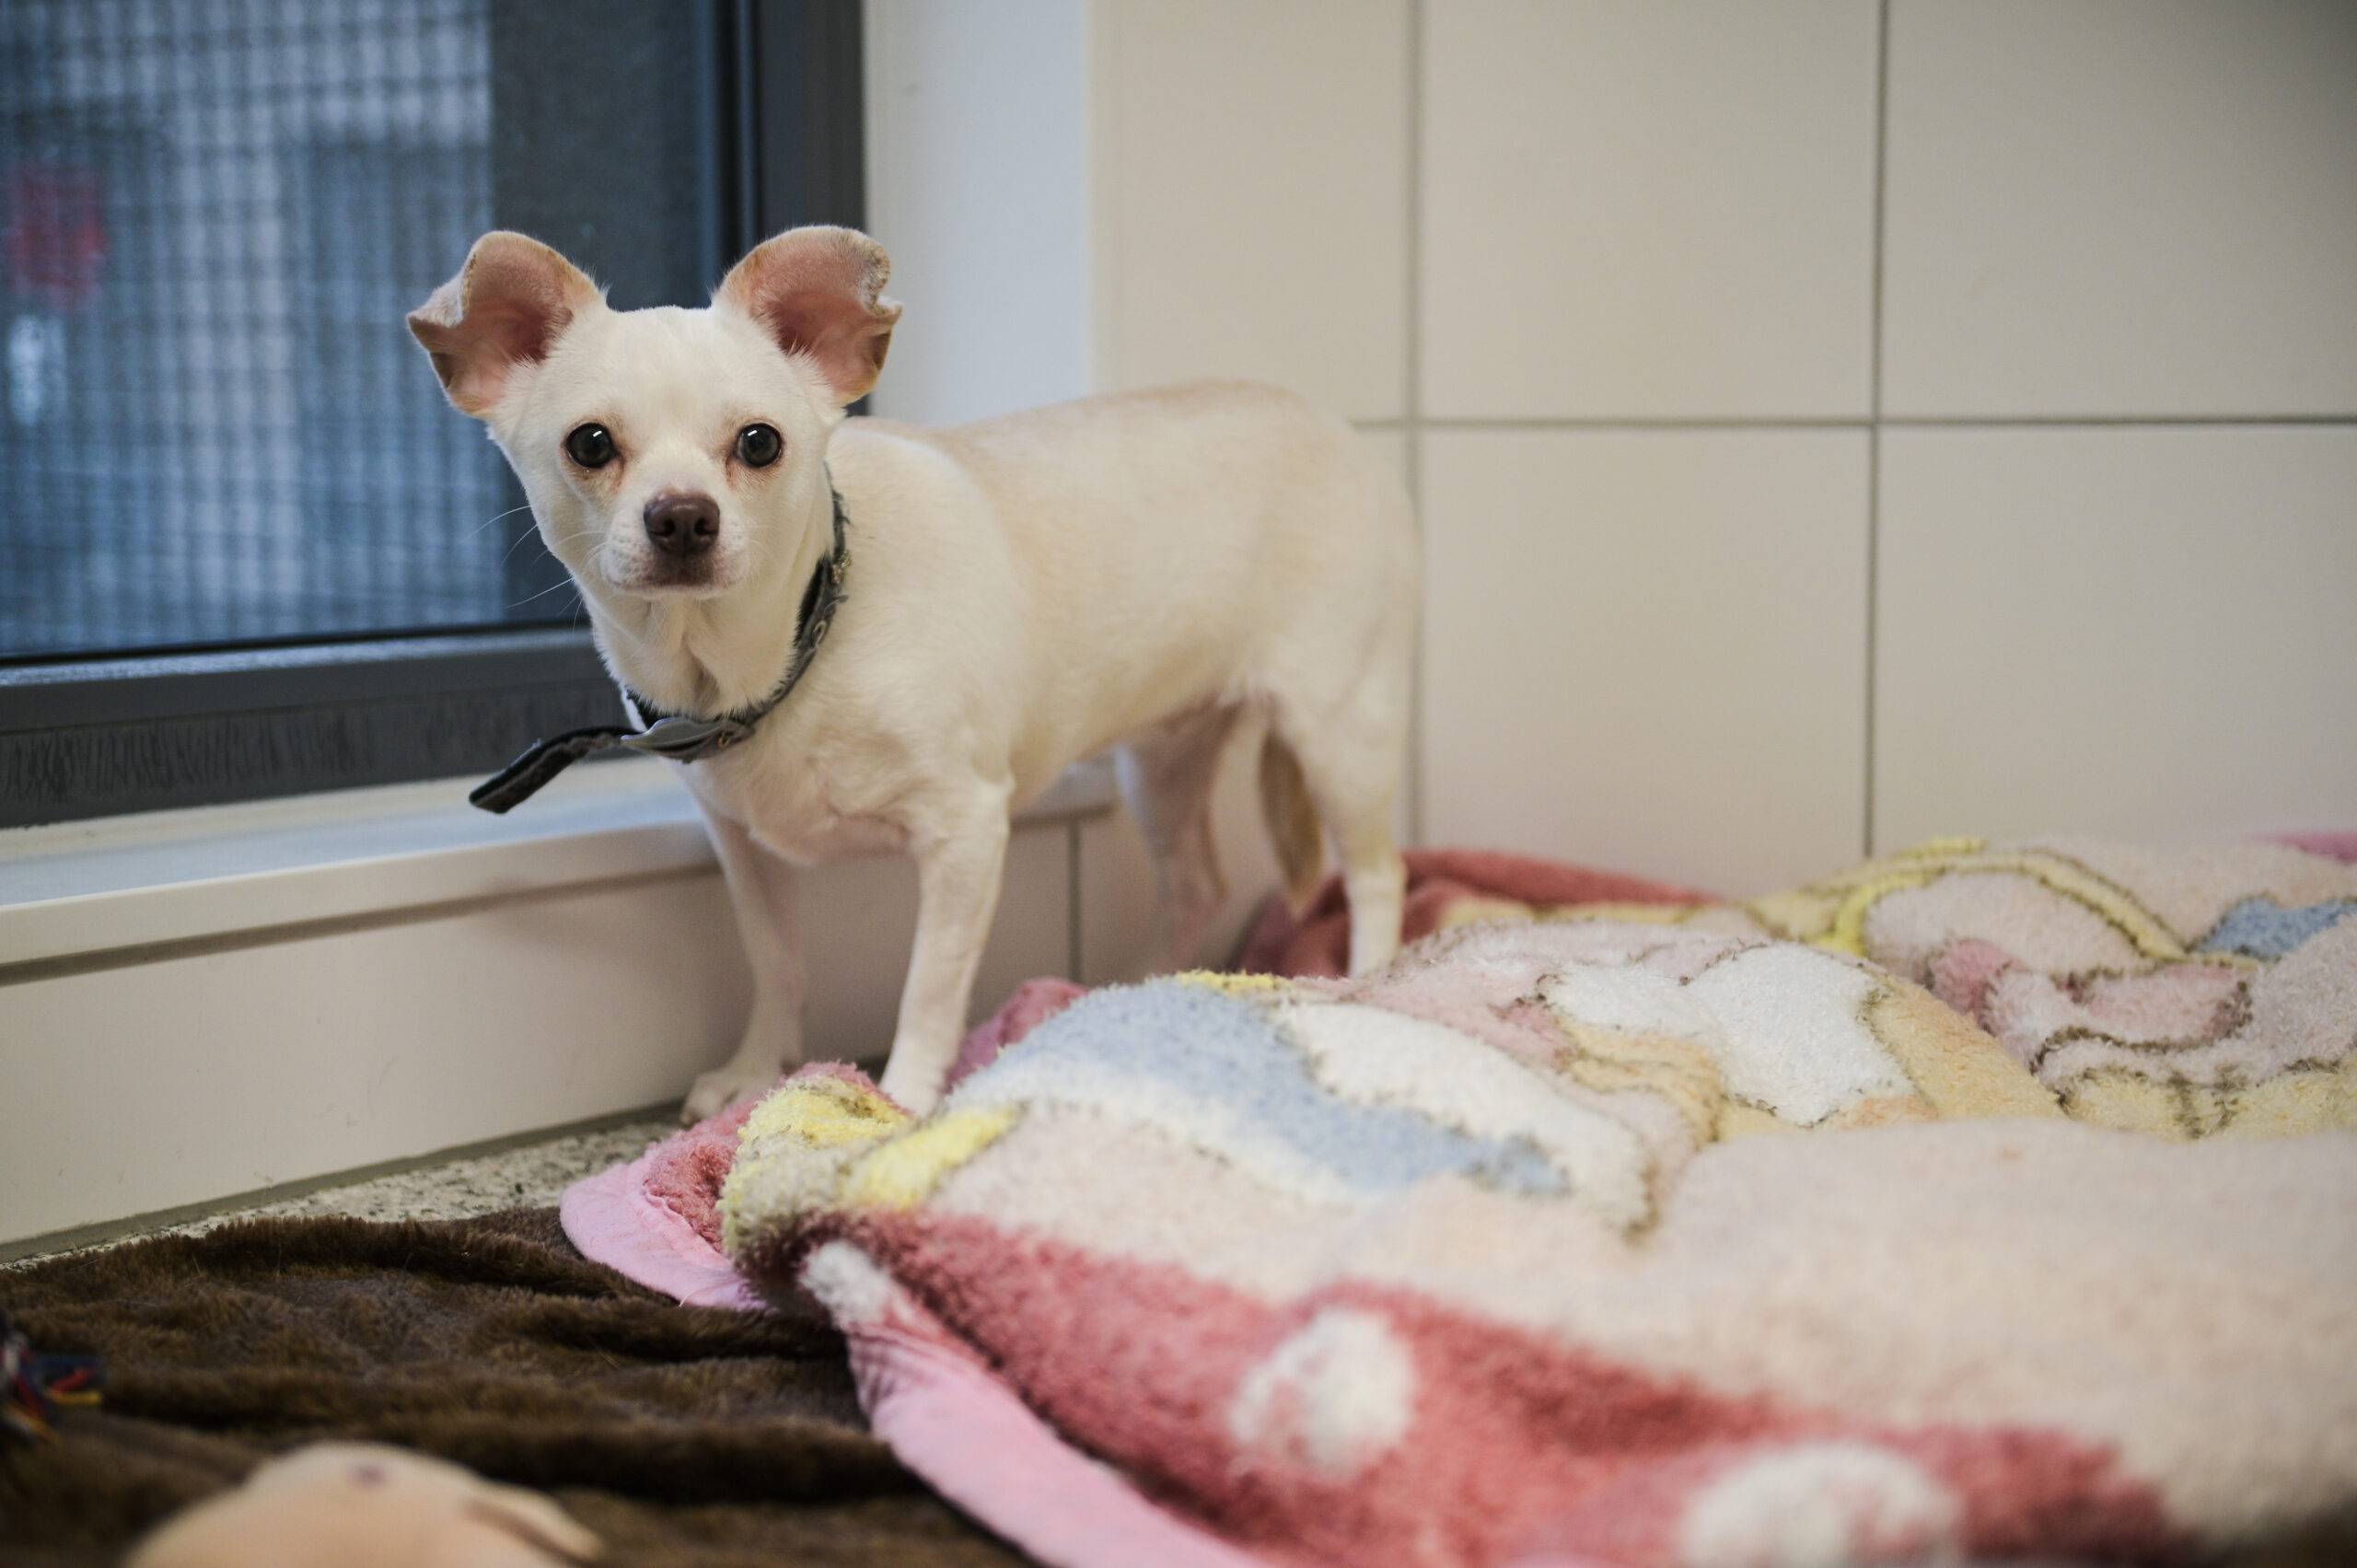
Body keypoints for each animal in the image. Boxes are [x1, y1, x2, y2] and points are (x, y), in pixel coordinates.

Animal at [410, 226, 1414, 1117]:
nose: (684, 515)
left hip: (1340, 736)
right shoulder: (745, 849)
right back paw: (1133, 995)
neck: (792, 654)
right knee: (1199, 881)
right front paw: (755, 1069)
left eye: (759, 444)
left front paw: (902, 1099)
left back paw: (1369, 988)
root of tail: (1334, 424)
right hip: (1163, 763)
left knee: (1375, 876)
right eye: (590, 444)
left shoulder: (965, 834)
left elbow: (928, 991)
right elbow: (775, 962)